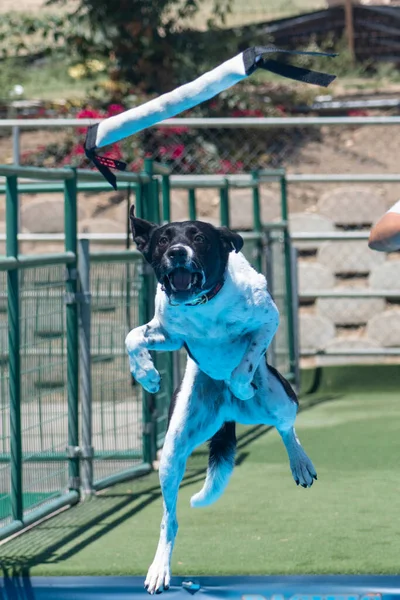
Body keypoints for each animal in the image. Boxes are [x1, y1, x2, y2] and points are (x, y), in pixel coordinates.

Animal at [125, 207, 316, 596]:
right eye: (163, 239)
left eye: (199, 238)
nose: (177, 253)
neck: (204, 303)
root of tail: (228, 413)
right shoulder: (168, 334)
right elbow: (133, 336)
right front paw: (146, 374)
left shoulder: (268, 320)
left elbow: (247, 358)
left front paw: (240, 382)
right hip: (173, 449)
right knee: (170, 518)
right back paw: (159, 568)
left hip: (281, 399)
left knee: (285, 427)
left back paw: (299, 461)